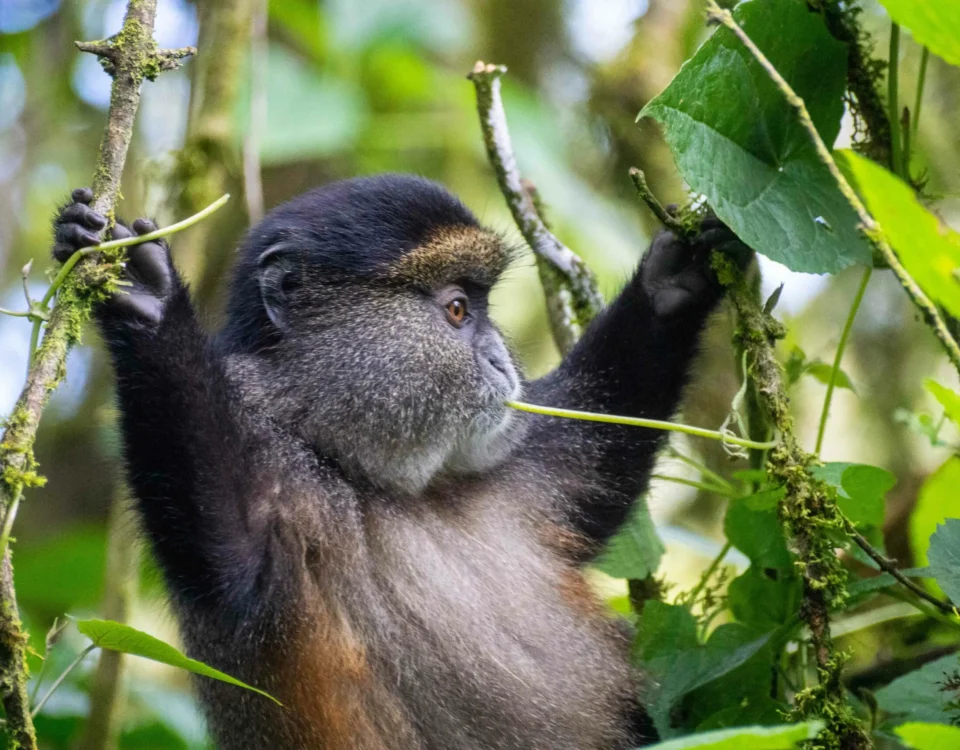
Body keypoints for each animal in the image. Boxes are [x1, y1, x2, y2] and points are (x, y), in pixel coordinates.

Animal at [52, 175, 747, 749]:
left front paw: (675, 276)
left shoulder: (514, 475)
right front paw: (144, 297)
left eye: (481, 306)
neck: (354, 463)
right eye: (457, 309)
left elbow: (595, 470)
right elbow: (224, 550)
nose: (501, 360)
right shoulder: (267, 466)